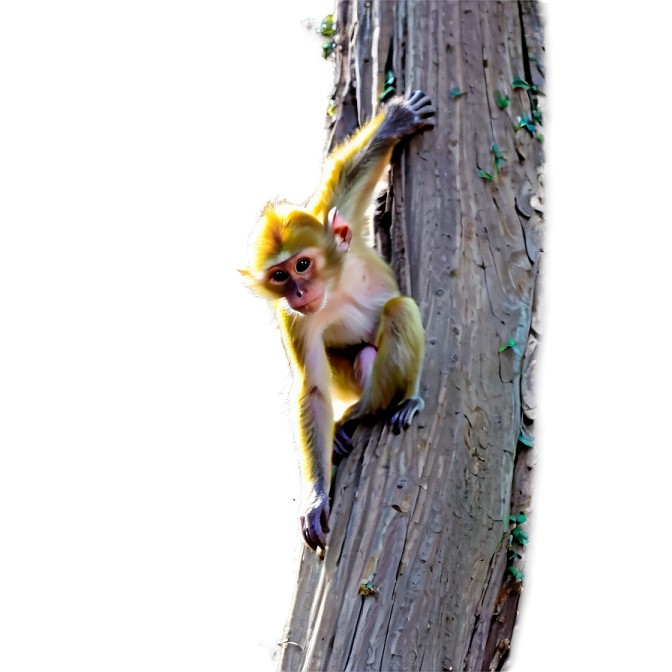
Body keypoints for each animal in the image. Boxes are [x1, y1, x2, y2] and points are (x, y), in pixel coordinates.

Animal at [235, 90, 435, 553]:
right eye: (279, 276)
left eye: (302, 264)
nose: (298, 292)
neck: (334, 286)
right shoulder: (295, 319)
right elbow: (312, 390)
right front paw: (314, 497)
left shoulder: (340, 231)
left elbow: (346, 181)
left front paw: (394, 121)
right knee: (359, 358)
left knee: (399, 309)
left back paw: (384, 406)